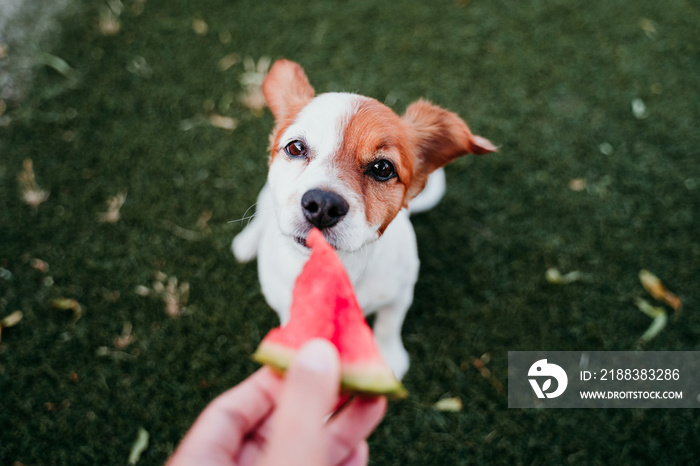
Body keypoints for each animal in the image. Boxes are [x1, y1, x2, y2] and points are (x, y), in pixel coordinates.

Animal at [232, 59, 494, 378]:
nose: (322, 205)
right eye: (296, 147)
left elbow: (388, 325)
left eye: (383, 168)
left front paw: (389, 358)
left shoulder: (401, 292)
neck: (343, 266)